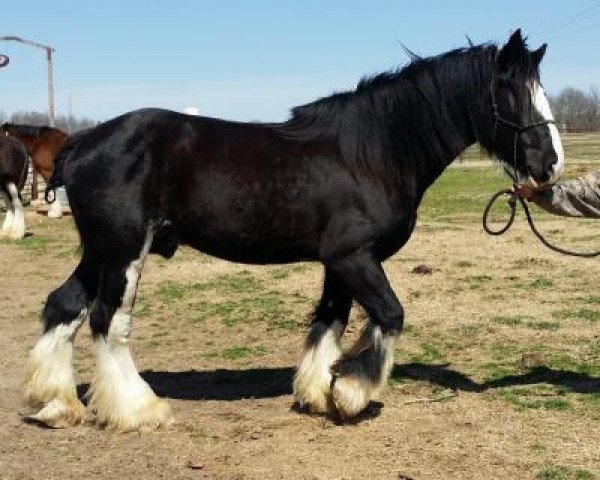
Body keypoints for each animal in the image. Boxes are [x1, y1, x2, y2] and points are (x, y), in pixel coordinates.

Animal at [24, 31, 568, 432]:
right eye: (514, 96)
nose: (550, 165)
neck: (371, 153)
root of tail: (82, 142)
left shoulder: (340, 261)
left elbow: (330, 321)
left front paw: (319, 393)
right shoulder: (354, 256)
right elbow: (389, 314)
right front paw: (350, 393)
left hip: (99, 250)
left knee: (64, 304)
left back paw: (55, 403)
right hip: (123, 250)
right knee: (106, 320)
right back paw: (138, 410)